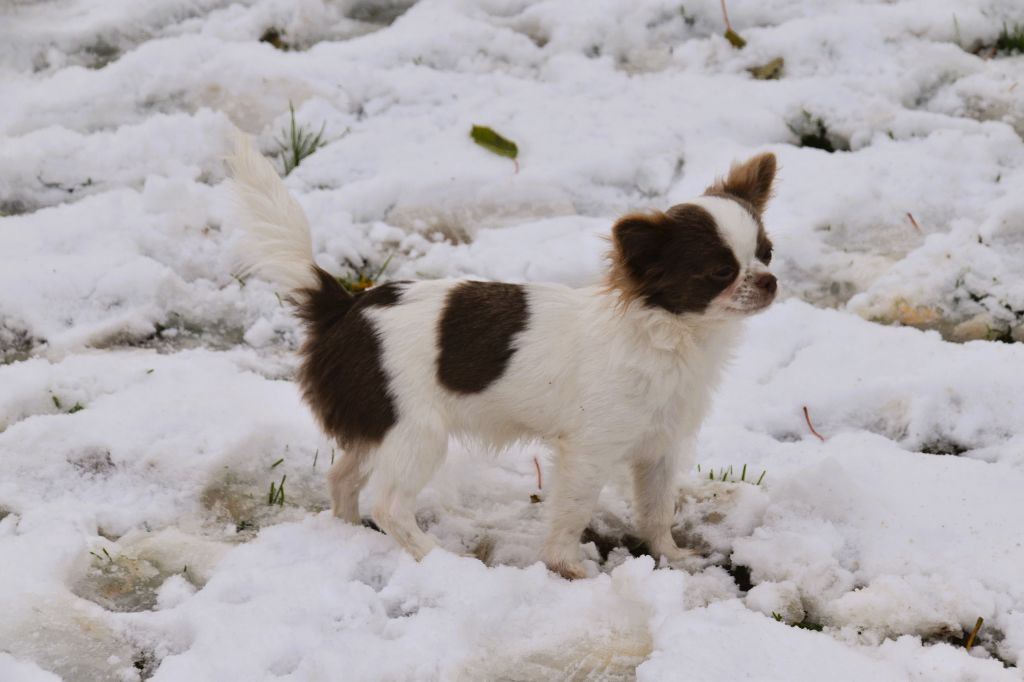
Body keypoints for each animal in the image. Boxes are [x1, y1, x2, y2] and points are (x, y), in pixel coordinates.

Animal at [228, 134, 774, 577]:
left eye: (767, 253)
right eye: (720, 272)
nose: (770, 281)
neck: (672, 337)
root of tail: (343, 306)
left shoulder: (659, 447)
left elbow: (657, 510)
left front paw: (673, 557)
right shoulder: (588, 451)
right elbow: (573, 511)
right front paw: (568, 567)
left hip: (376, 426)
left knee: (342, 477)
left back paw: (348, 533)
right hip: (415, 434)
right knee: (390, 506)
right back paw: (437, 559)